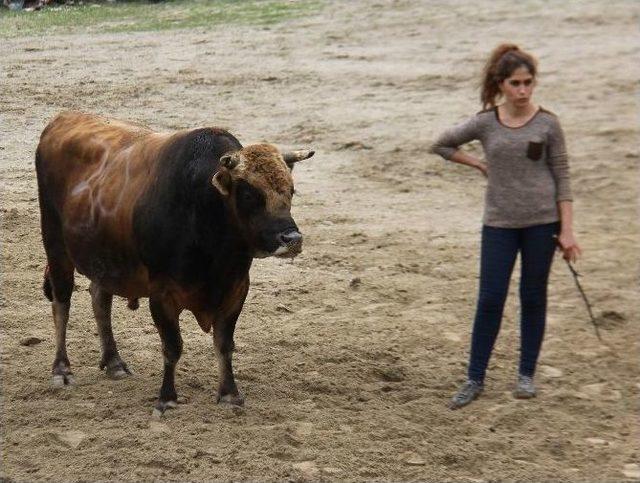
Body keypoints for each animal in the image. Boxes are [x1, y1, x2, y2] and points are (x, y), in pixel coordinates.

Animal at [35, 111, 316, 414]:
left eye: (291, 191)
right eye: (250, 194)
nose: (292, 239)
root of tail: (62, 119)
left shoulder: (236, 290)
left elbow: (224, 344)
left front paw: (229, 393)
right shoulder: (162, 295)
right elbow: (172, 347)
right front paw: (166, 397)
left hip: (107, 259)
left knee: (100, 298)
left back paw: (113, 361)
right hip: (55, 245)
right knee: (62, 303)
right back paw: (62, 369)